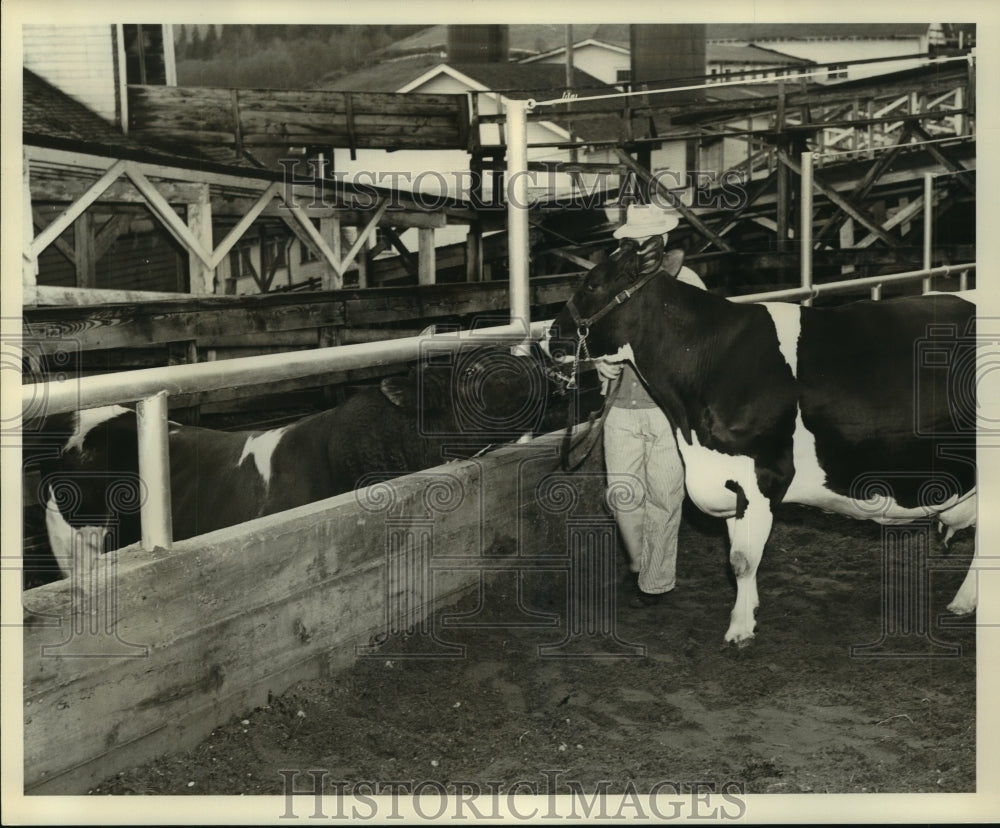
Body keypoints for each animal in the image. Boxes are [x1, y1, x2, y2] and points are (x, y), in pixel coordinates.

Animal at [548, 236, 976, 644]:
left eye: (592, 283)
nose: (551, 335)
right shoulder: (729, 478)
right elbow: (738, 553)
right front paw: (749, 610)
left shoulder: (764, 474)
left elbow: (742, 558)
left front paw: (739, 628)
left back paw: (964, 601)